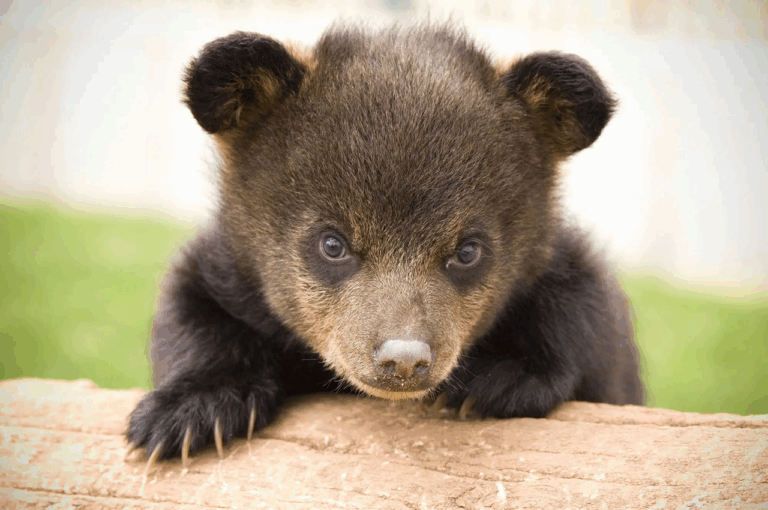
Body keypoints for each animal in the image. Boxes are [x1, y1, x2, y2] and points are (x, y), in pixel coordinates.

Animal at [127, 23, 644, 466]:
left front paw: (501, 378)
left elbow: (586, 314)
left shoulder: (557, 267)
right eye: (332, 243)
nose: (405, 359)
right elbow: (191, 307)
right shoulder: (230, 266)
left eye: (468, 250)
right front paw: (188, 413)